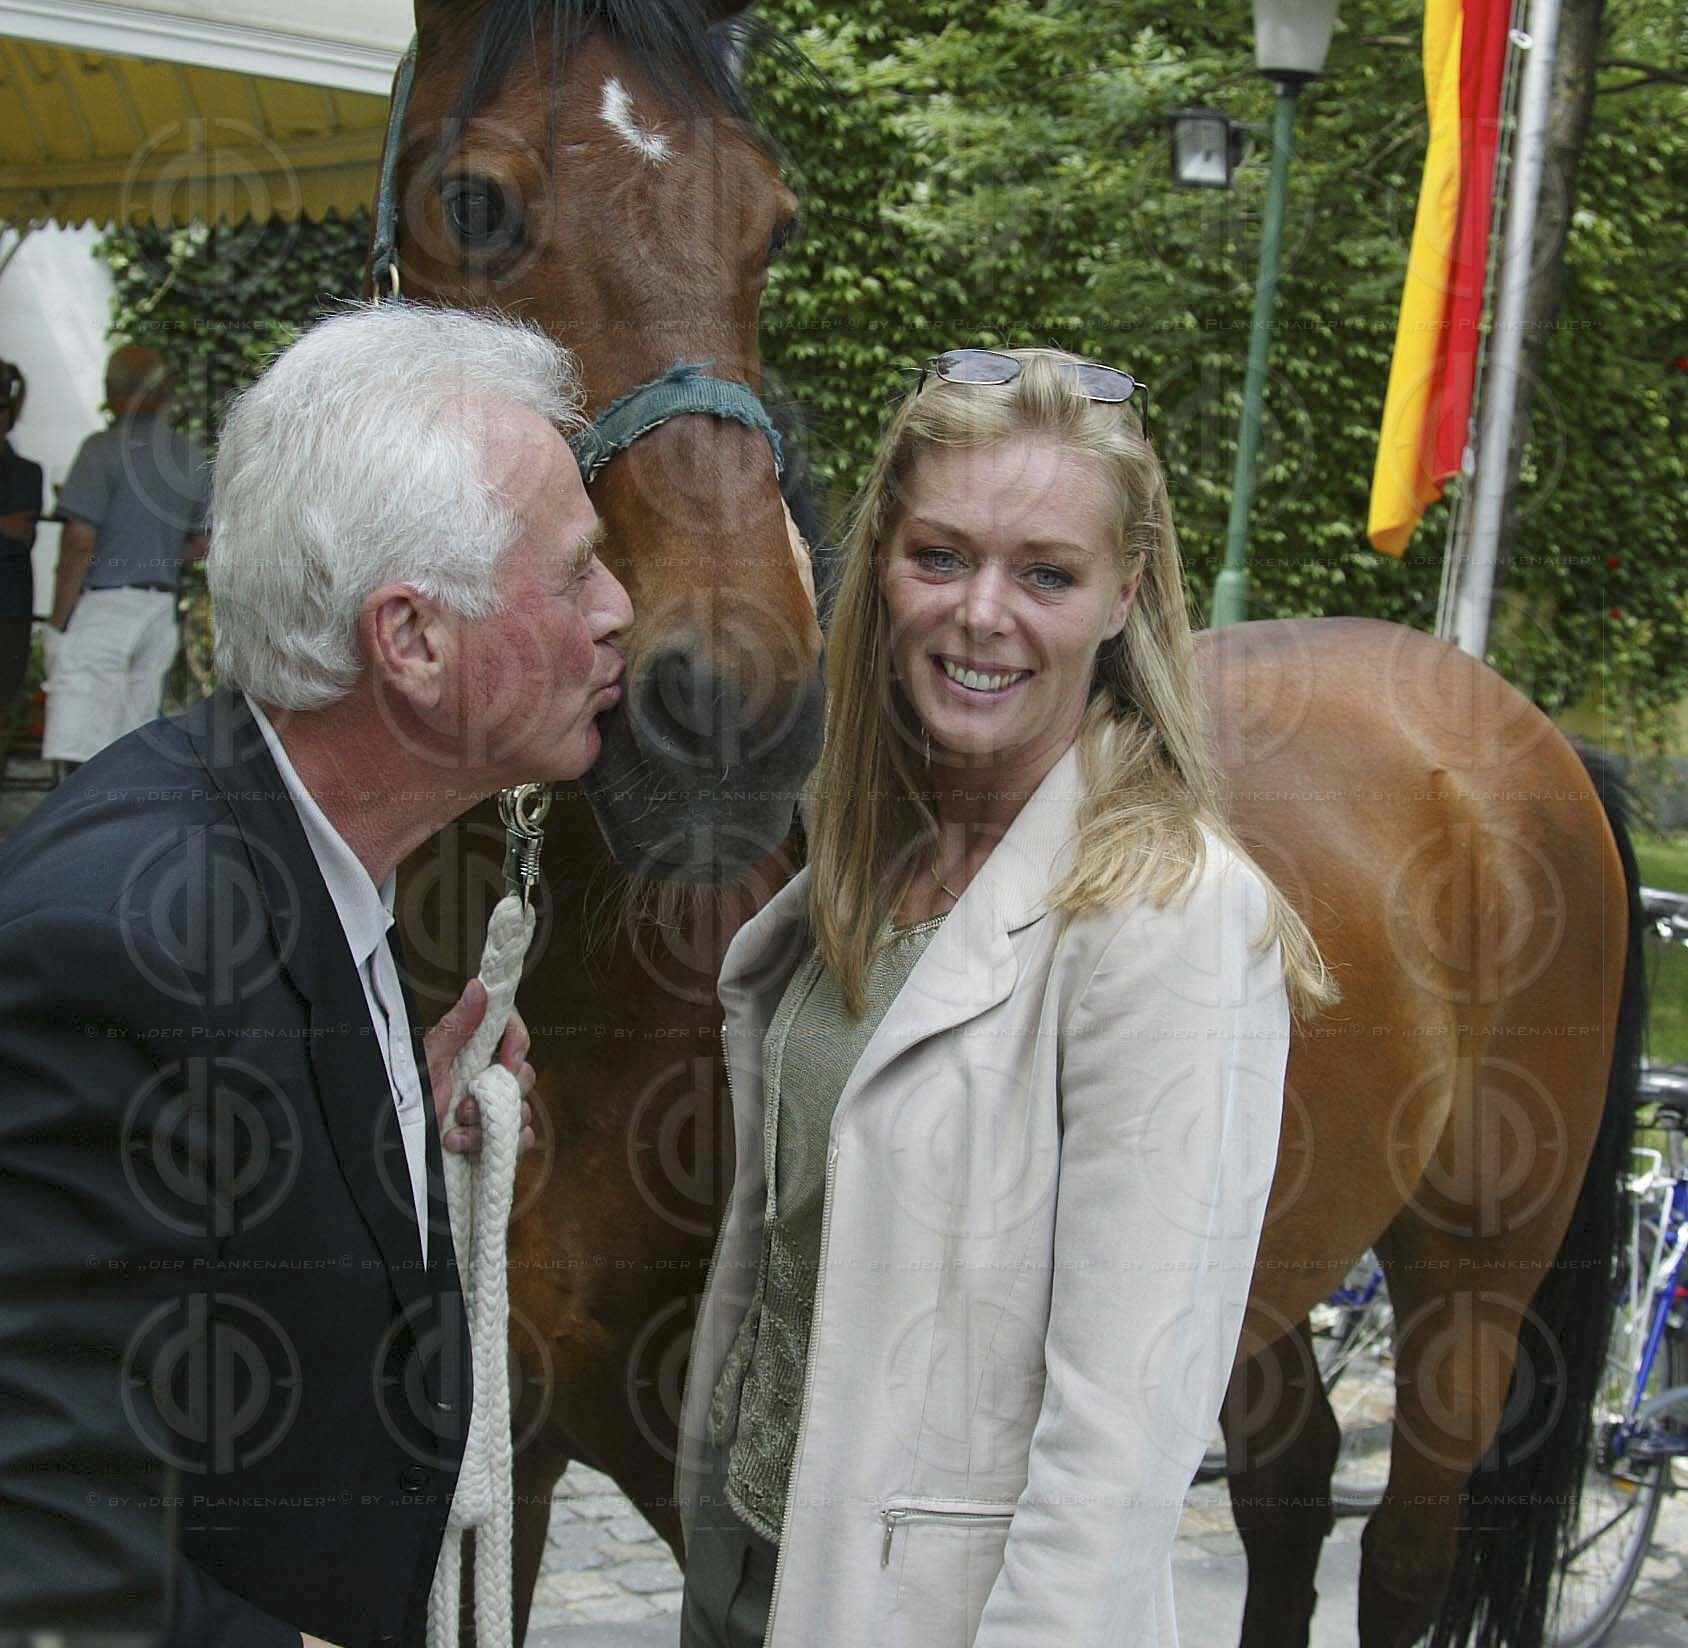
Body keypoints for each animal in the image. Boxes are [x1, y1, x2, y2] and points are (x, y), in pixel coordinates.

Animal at [368, 7, 1642, 1646]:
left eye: (771, 224)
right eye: (472, 203)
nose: (727, 708)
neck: (592, 982)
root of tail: (1522, 741)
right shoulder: (510, 1463)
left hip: (1467, 1299)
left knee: (1402, 1553)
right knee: (1286, 1491)